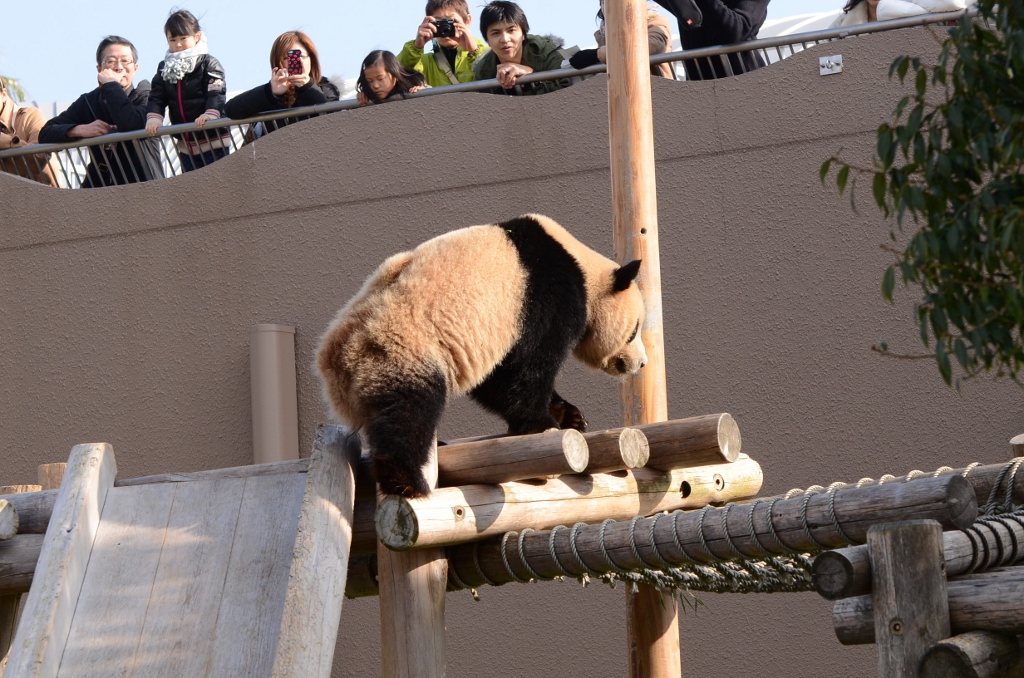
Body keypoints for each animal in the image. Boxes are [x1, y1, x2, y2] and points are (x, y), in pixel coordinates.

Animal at [315, 214, 647, 499]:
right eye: (635, 330)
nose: (641, 363)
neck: (583, 267)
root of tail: (337, 361)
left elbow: (494, 381)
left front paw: (570, 415)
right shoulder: (544, 296)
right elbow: (524, 369)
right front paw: (542, 422)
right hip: (402, 349)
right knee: (408, 412)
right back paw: (409, 481)